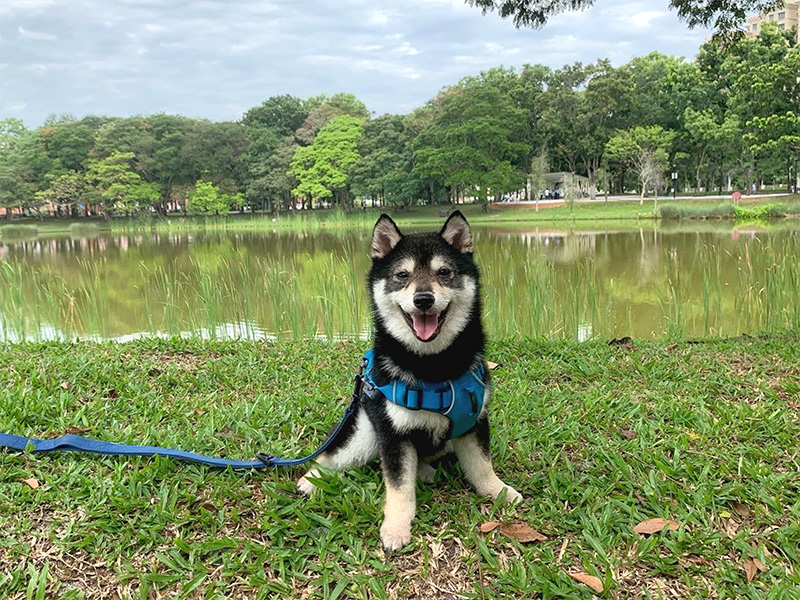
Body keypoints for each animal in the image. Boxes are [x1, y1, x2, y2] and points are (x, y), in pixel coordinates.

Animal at [296, 211, 520, 548]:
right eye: (402, 275)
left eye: (444, 272)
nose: (423, 299)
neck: (435, 367)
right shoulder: (394, 434)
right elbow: (399, 486)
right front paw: (396, 527)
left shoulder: (475, 422)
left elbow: (482, 466)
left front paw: (499, 491)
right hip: (364, 436)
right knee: (332, 457)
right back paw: (309, 481)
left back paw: (425, 470)